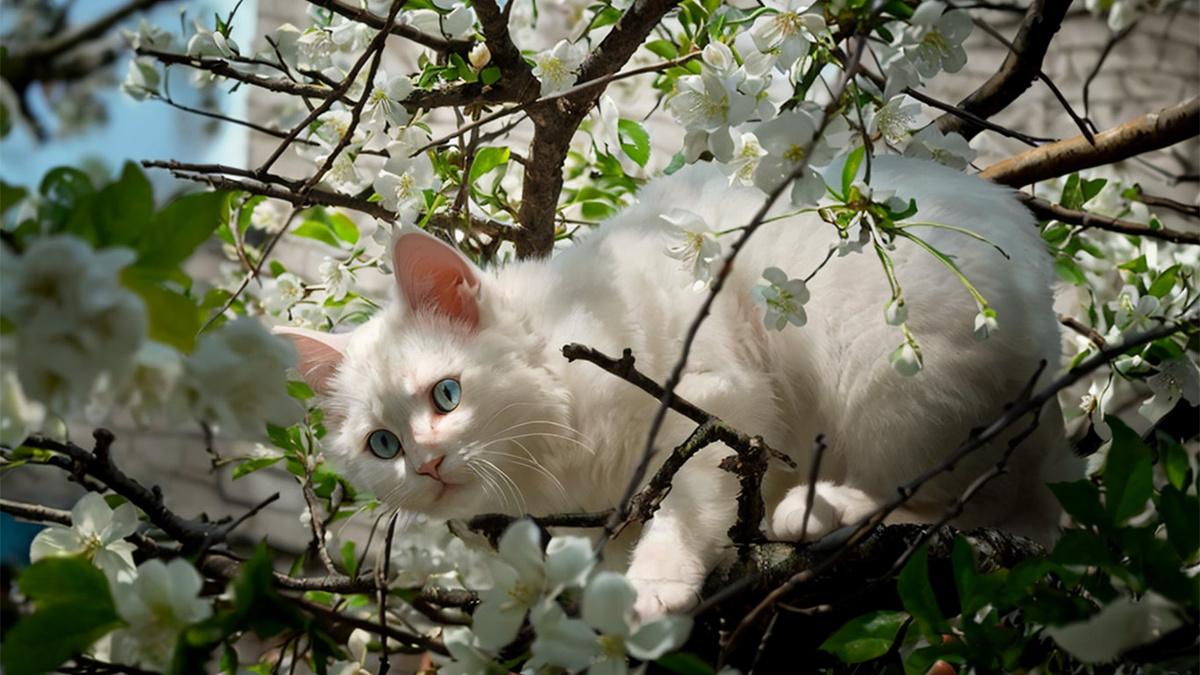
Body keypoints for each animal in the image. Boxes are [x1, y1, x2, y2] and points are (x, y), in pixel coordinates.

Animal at [280, 156, 1080, 614]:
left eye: (445, 395)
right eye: (381, 446)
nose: (426, 464)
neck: (551, 459)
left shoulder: (717, 403)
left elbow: (691, 500)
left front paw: (655, 584)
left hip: (886, 359)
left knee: (970, 501)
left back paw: (825, 508)